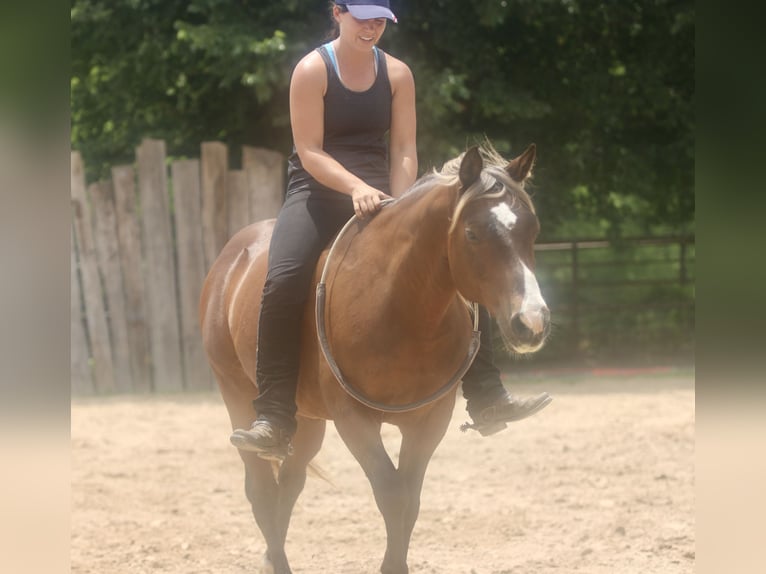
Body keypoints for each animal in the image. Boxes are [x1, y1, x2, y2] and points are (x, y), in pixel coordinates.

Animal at [199, 142, 550, 574]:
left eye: (531, 230)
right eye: (472, 233)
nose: (532, 322)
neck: (397, 305)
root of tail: (231, 259)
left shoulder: (429, 421)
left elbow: (410, 499)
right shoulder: (354, 419)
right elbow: (391, 493)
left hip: (306, 419)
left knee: (290, 484)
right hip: (236, 394)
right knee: (262, 491)